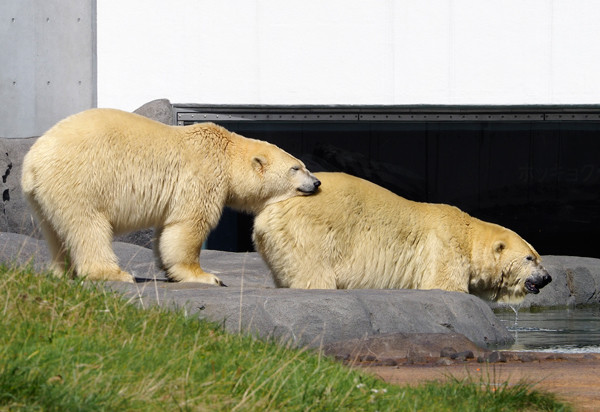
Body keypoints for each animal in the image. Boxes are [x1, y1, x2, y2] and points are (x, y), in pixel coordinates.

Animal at [22, 108, 322, 284]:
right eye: (296, 168)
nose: (317, 182)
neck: (225, 153)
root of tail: (31, 162)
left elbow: (165, 228)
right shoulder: (202, 175)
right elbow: (188, 225)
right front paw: (205, 276)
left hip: (45, 195)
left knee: (55, 231)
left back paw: (61, 272)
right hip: (79, 179)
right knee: (88, 225)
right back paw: (113, 273)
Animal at [251, 171, 552, 302]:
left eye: (538, 256)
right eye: (530, 258)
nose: (547, 278)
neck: (468, 233)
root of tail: (268, 211)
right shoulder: (444, 247)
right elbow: (443, 284)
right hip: (310, 233)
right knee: (313, 272)